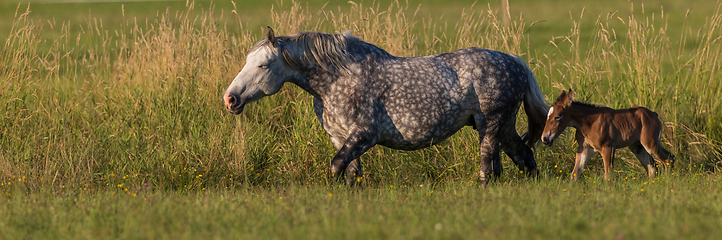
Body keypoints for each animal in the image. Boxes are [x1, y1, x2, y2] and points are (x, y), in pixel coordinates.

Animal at [222, 28, 548, 185]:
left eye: (263, 65)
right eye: (247, 60)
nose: (230, 99)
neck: (338, 79)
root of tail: (513, 60)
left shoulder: (364, 135)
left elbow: (335, 167)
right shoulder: (341, 138)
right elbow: (350, 173)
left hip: (490, 125)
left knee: (488, 166)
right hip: (502, 126)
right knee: (524, 156)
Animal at [536, 90, 672, 180]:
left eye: (558, 116)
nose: (545, 138)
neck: (589, 124)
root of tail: (654, 114)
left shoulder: (608, 148)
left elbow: (608, 175)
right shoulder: (584, 149)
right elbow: (574, 174)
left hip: (650, 143)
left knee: (668, 158)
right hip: (637, 147)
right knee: (652, 168)